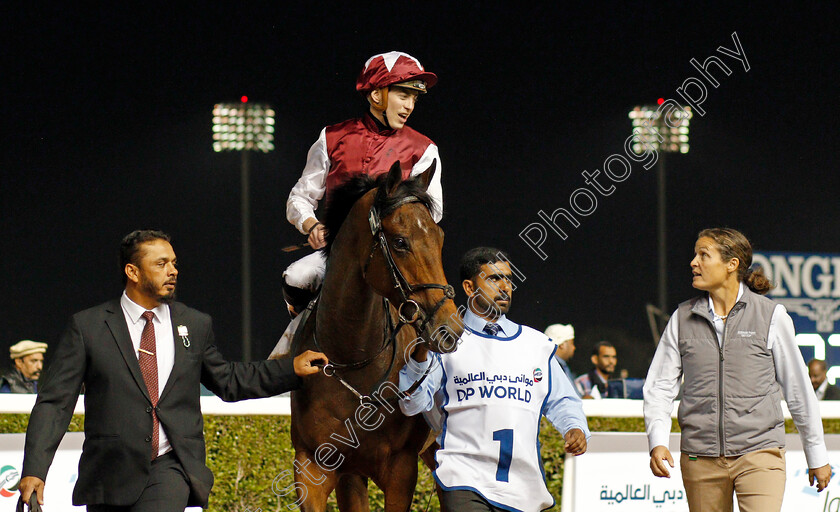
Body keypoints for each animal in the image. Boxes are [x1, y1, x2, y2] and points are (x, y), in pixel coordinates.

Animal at [288, 161, 460, 512]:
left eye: (438, 237)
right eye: (400, 242)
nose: (449, 326)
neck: (353, 358)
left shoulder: (400, 468)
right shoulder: (315, 466)